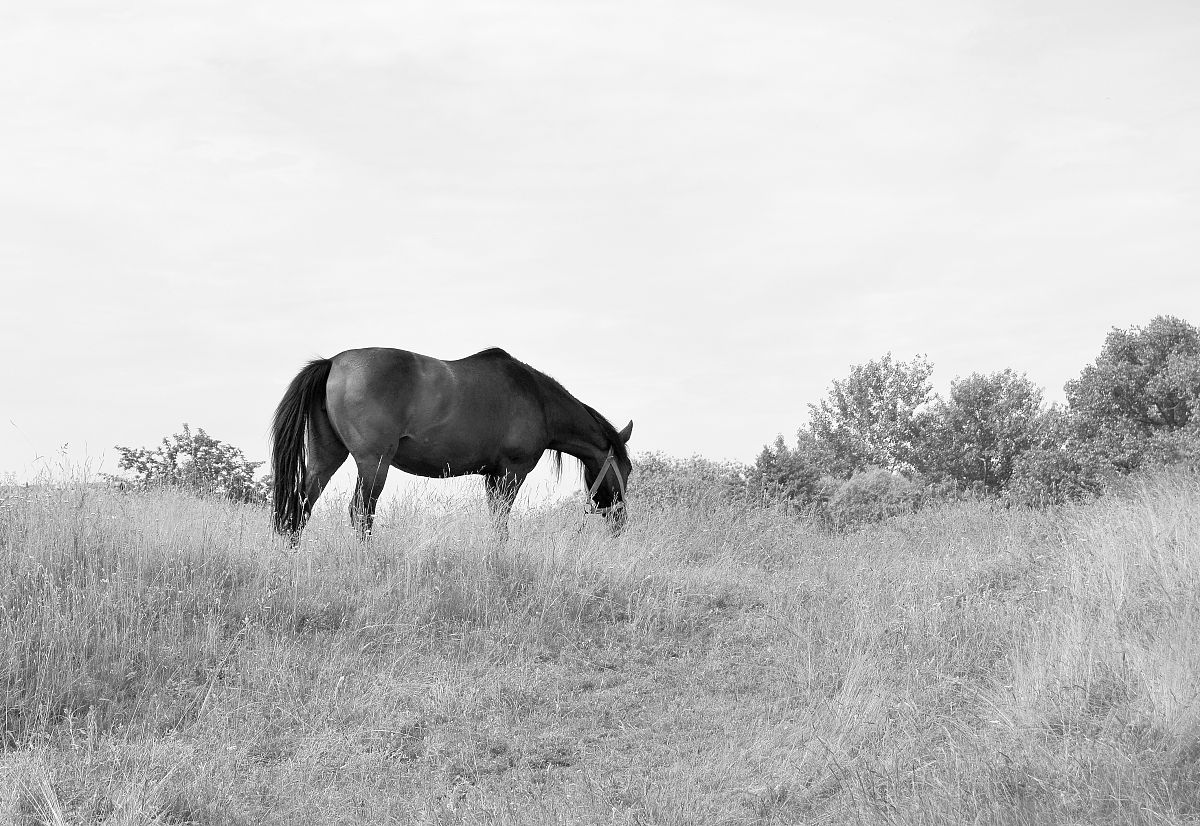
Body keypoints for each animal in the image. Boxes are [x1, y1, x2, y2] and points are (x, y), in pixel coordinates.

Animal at [270, 347, 632, 542]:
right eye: (626, 469)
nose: (621, 520)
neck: (538, 400)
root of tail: (333, 362)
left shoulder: (492, 476)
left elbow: (495, 520)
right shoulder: (511, 473)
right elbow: (501, 522)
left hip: (326, 456)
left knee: (302, 504)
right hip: (373, 463)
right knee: (361, 512)